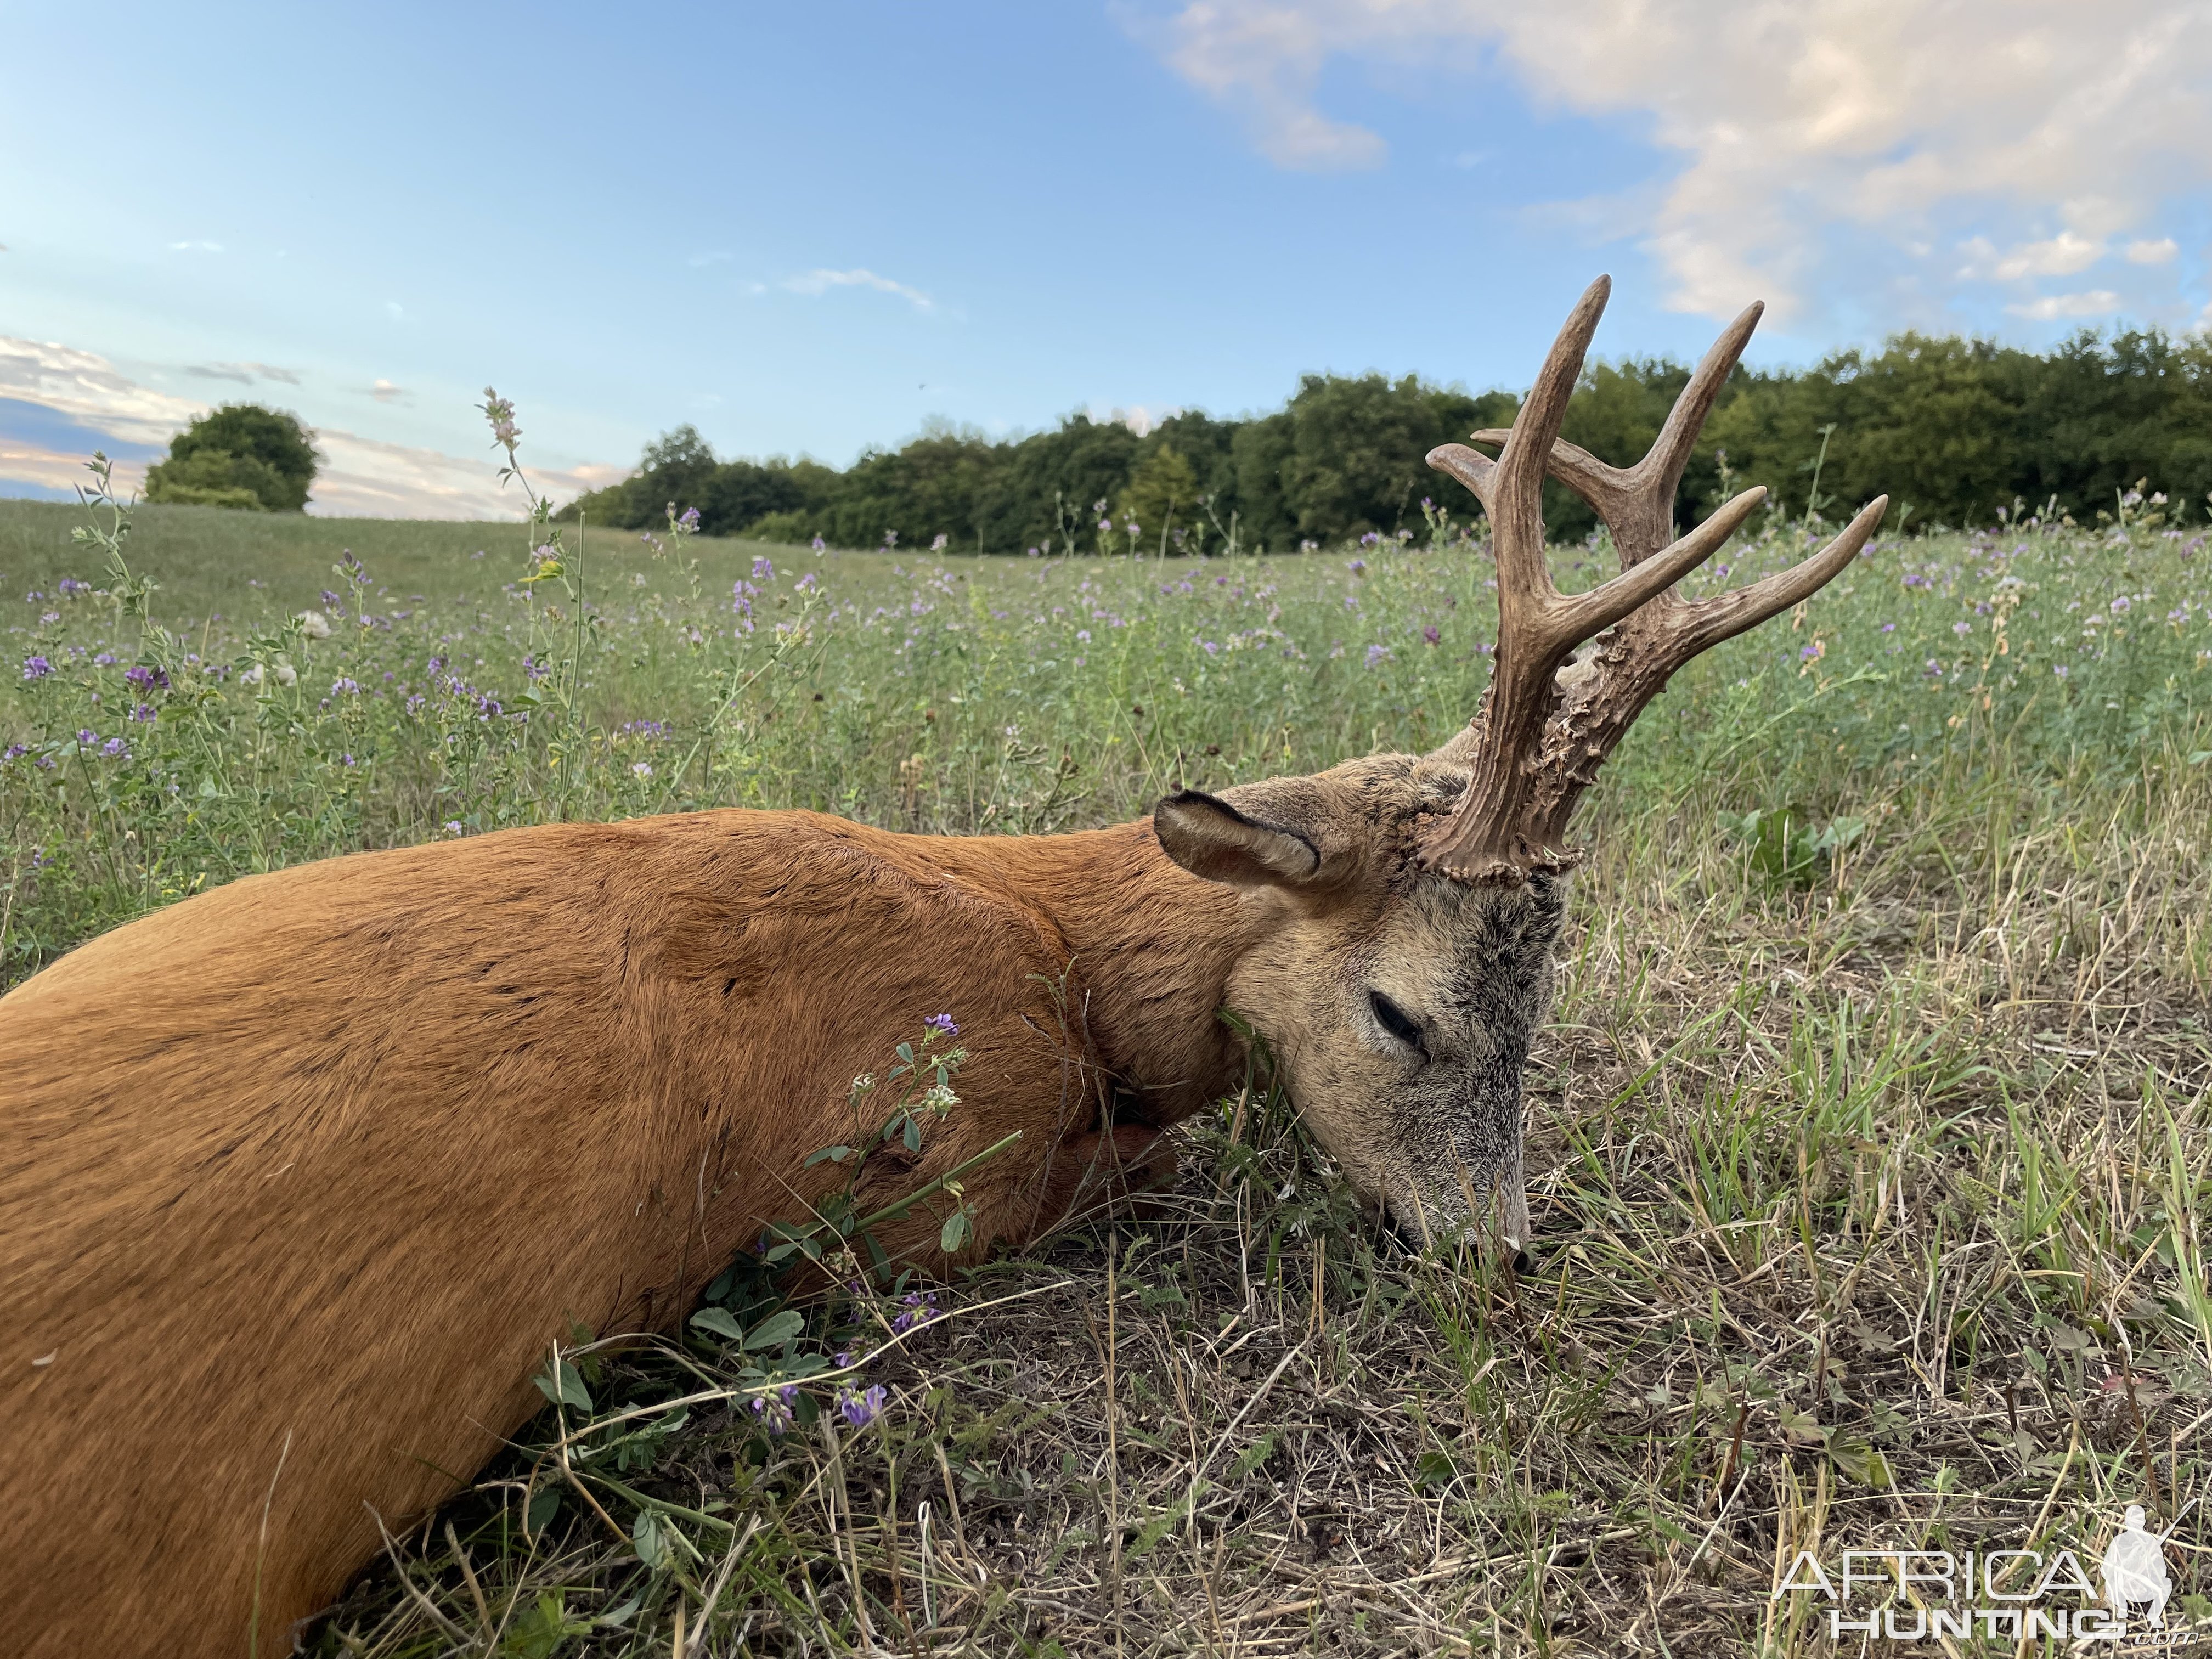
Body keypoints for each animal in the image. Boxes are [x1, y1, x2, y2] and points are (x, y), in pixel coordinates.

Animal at [0, 280, 1884, 1654]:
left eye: (1547, 1001)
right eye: (1401, 1012)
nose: (1503, 1254)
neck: (1046, 937)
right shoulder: (935, 1185)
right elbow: (1152, 1158)